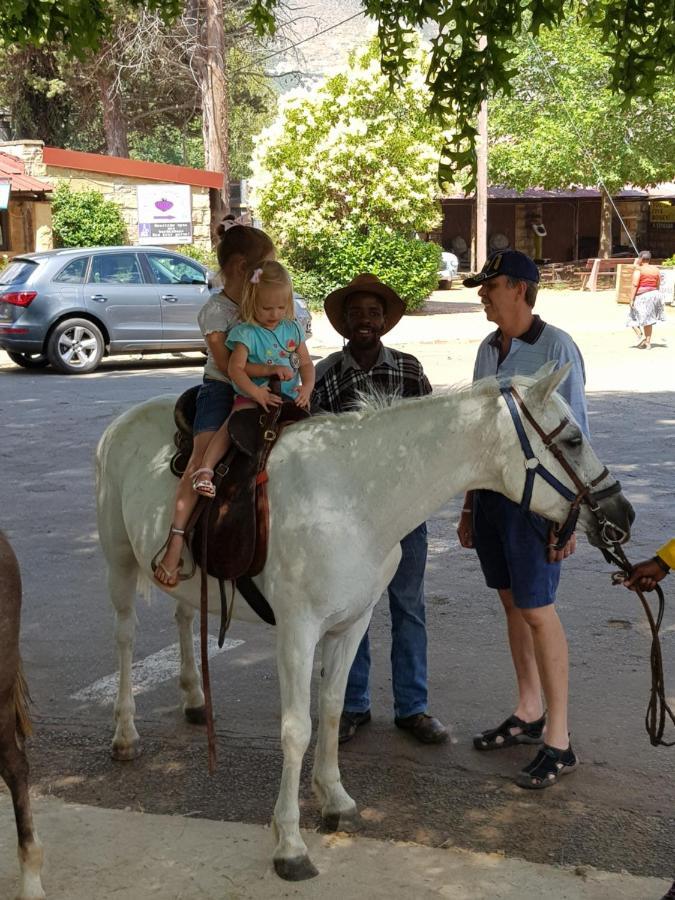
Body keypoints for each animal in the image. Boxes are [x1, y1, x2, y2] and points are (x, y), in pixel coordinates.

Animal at [95, 364, 632, 880]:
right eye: (572, 440)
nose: (622, 513)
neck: (353, 496)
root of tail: (122, 422)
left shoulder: (353, 622)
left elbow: (333, 709)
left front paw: (335, 799)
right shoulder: (297, 632)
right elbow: (297, 729)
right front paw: (290, 844)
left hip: (185, 576)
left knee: (185, 614)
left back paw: (193, 697)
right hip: (118, 562)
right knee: (123, 637)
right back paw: (125, 734)